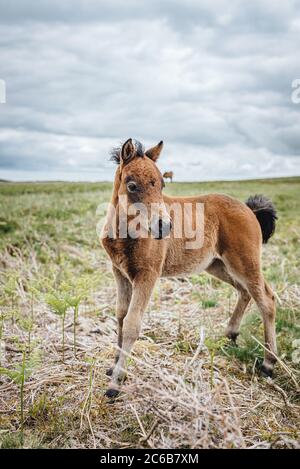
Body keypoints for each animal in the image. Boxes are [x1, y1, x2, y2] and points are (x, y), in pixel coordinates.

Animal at [102, 137, 278, 396]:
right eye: (131, 185)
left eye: (162, 185)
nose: (164, 226)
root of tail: (250, 210)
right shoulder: (120, 273)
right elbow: (121, 318)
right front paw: (113, 367)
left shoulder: (147, 275)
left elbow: (133, 324)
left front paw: (116, 382)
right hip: (217, 265)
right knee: (245, 291)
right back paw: (230, 334)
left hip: (244, 261)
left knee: (266, 299)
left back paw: (268, 363)